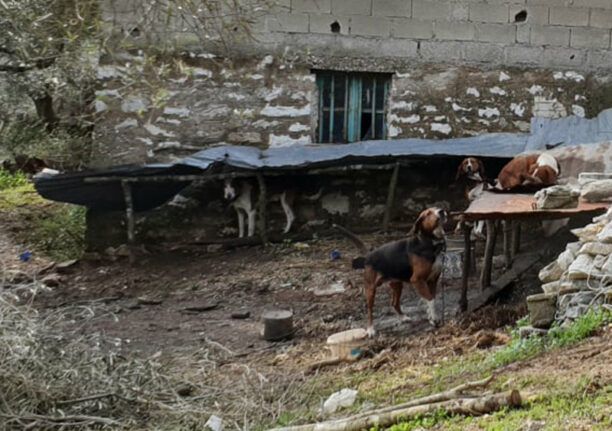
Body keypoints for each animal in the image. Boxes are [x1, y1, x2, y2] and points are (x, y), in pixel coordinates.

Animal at [338, 208, 448, 338]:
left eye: (437, 208)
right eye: (428, 213)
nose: (441, 211)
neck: (429, 242)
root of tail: (369, 255)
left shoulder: (433, 280)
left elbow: (431, 299)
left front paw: (432, 318)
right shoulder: (417, 280)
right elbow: (430, 299)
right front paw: (435, 319)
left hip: (397, 285)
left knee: (394, 303)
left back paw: (403, 317)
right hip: (370, 289)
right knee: (370, 310)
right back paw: (370, 329)